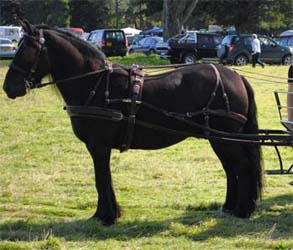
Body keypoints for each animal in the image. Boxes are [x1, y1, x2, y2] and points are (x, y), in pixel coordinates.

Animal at [3, 21, 262, 225]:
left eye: (27, 49)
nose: (8, 87)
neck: (96, 84)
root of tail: (235, 75)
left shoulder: (98, 146)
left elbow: (101, 178)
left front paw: (107, 215)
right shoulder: (98, 147)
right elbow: (102, 178)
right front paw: (104, 213)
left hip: (225, 138)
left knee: (241, 167)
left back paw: (243, 210)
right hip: (218, 138)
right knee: (230, 168)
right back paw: (229, 207)